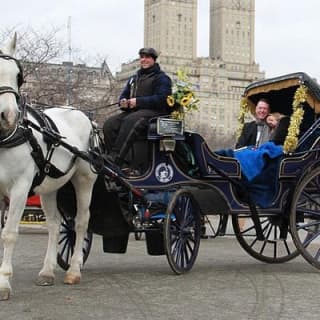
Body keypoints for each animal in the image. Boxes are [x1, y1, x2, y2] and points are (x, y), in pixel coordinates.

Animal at [0, 34, 97, 300]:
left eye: (18, 75)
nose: (7, 116)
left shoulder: (20, 188)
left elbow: (9, 234)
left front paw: (4, 283)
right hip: (49, 185)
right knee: (55, 224)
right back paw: (47, 271)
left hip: (84, 180)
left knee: (81, 222)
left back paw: (73, 270)